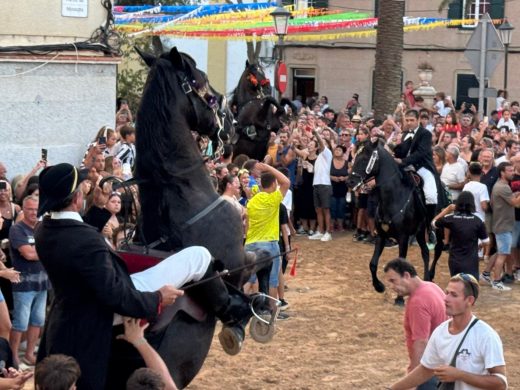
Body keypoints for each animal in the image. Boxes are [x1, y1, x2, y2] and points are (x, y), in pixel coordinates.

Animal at [346, 142, 430, 298]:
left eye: (365, 159)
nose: (350, 182)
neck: (393, 198)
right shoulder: (381, 235)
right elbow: (373, 263)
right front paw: (379, 286)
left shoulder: (403, 237)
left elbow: (402, 266)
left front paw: (399, 298)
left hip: (421, 232)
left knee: (426, 253)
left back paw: (428, 279)